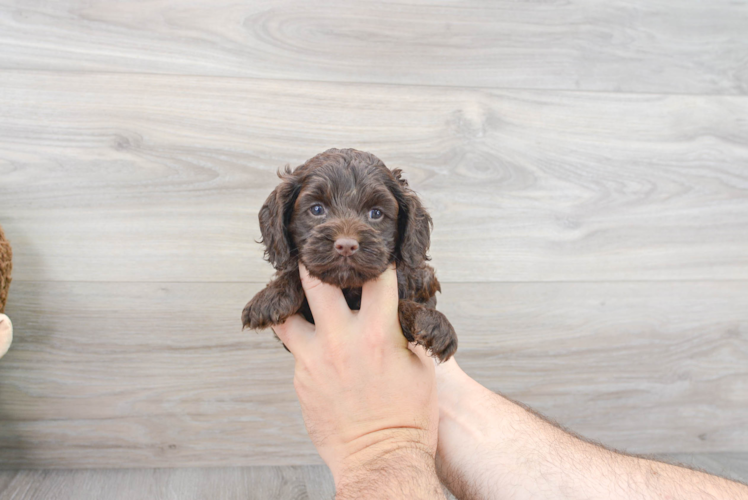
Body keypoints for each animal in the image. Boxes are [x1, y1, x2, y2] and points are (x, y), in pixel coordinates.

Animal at [244, 146, 456, 362]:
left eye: (376, 213)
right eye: (317, 209)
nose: (346, 246)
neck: (350, 288)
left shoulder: (424, 281)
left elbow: (403, 305)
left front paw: (431, 322)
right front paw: (271, 296)